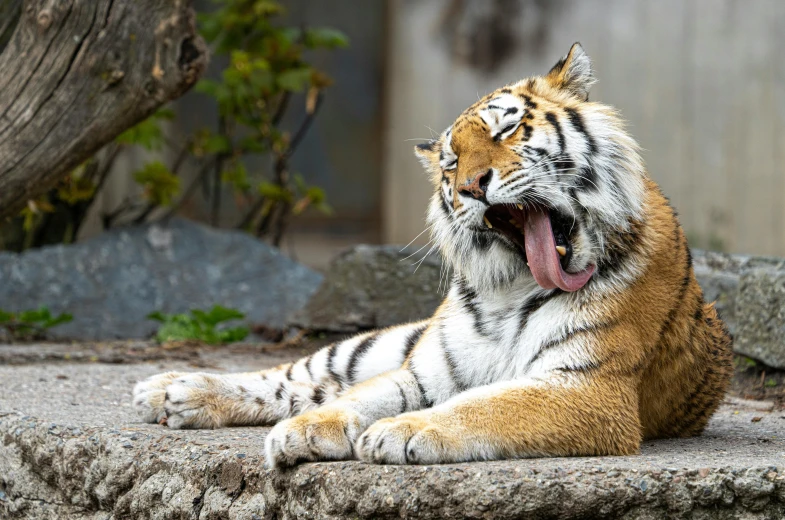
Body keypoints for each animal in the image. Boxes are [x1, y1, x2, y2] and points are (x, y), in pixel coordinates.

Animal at [132, 44, 732, 468]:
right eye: (449, 161)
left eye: (507, 128)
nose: (470, 186)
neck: (514, 287)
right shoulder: (424, 373)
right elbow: (357, 398)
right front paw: (308, 431)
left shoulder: (588, 388)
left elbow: (487, 404)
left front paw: (403, 431)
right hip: (383, 344)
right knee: (302, 376)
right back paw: (169, 389)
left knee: (311, 387)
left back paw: (175, 395)